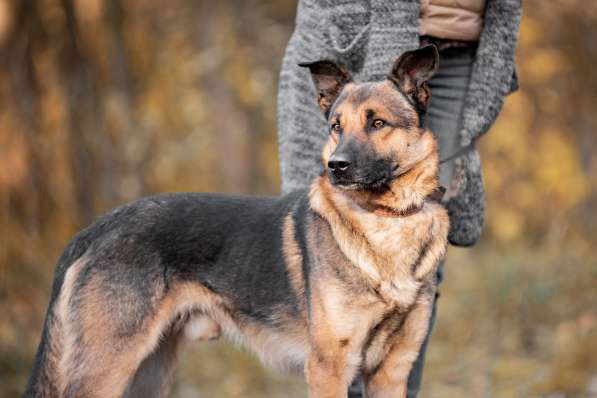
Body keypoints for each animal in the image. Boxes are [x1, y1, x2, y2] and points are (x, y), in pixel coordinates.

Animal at [26, 44, 448, 398]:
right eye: (336, 127)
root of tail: (97, 228)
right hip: (109, 366)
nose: (336, 166)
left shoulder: (392, 371)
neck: (386, 218)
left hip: (148, 371)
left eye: (378, 124)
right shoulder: (330, 368)